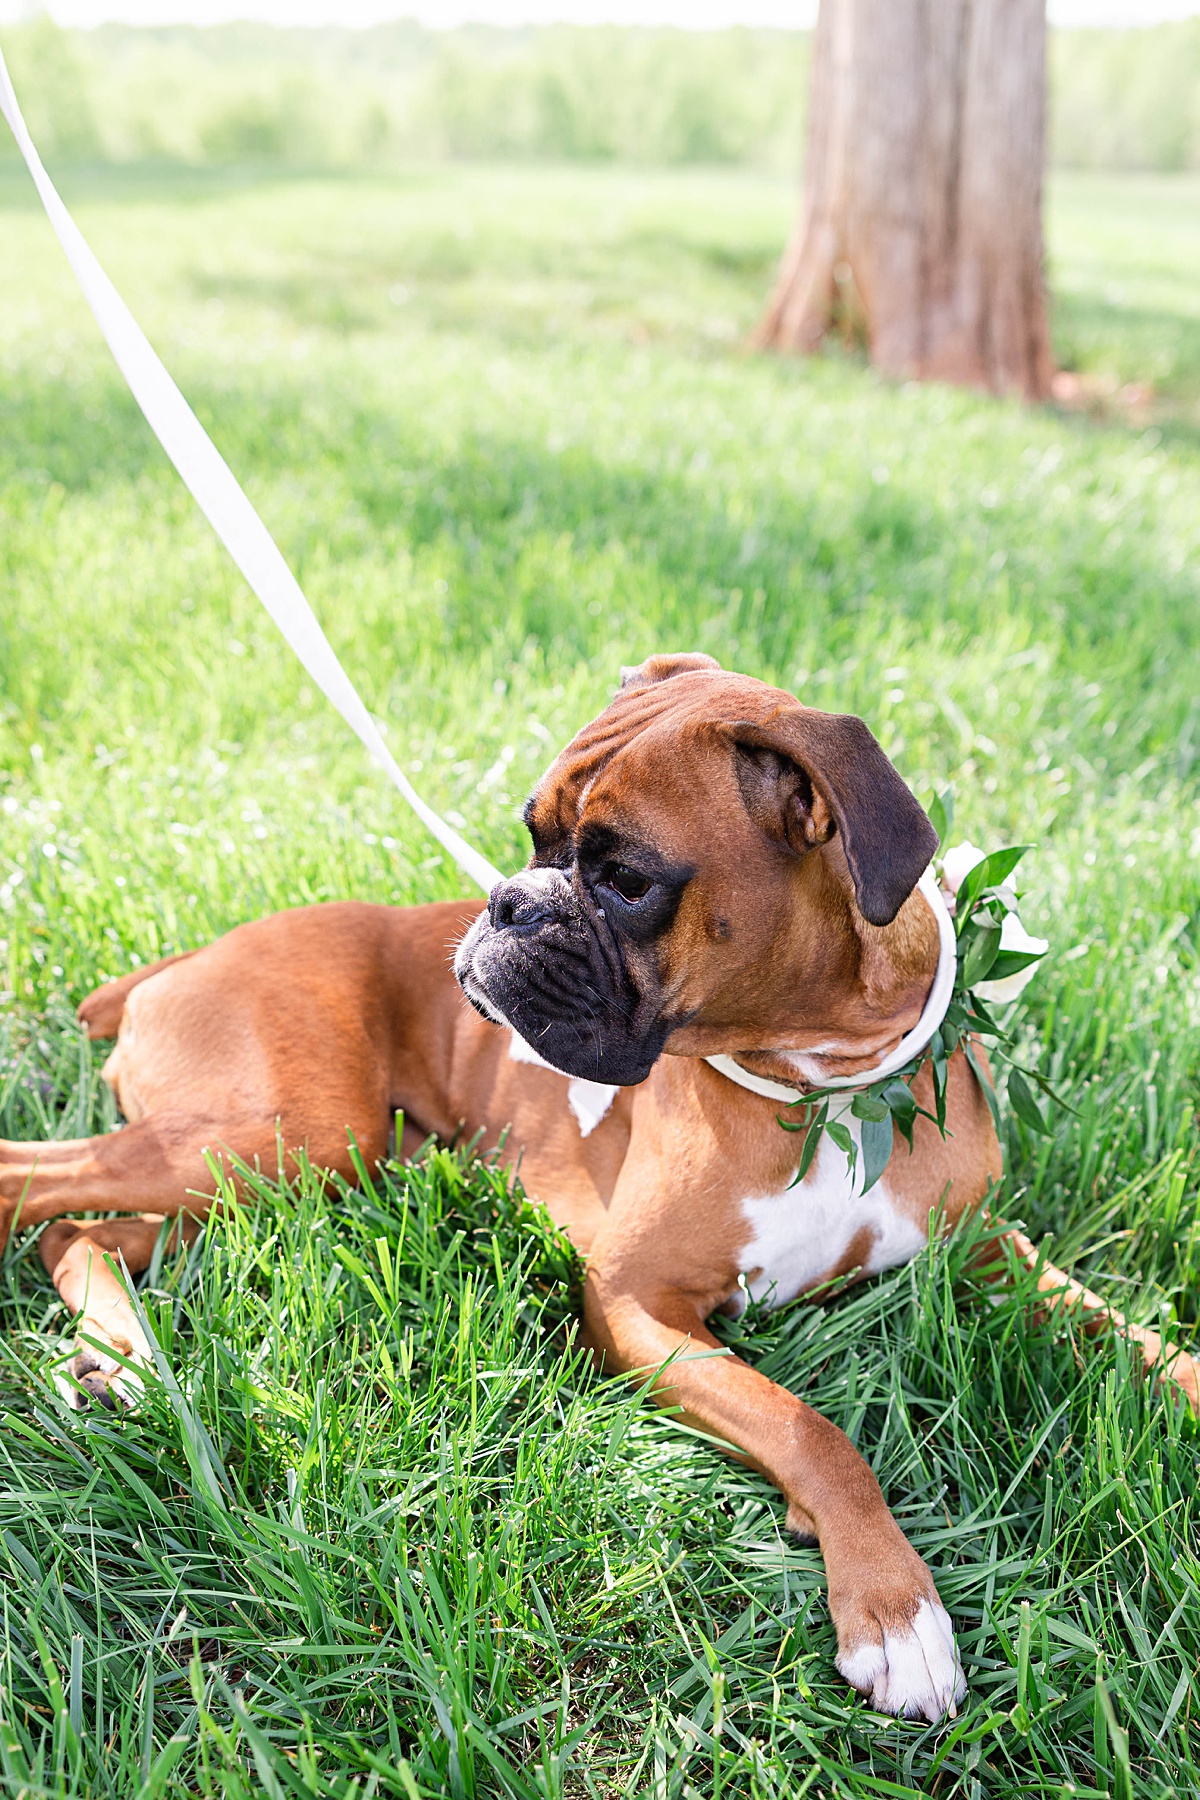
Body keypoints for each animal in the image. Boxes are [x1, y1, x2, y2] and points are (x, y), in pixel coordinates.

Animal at [2, 655, 1200, 1720]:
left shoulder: (990, 1249)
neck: (827, 1083)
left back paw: (118, 1363)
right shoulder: (639, 1307)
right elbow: (811, 1427)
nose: (507, 900)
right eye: (534, 836)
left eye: (626, 881)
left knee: (80, 1237)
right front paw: (895, 1612)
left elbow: (1128, 1334)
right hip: (282, 1139)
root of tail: (180, 962)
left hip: (282, 1174)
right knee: (35, 1189)